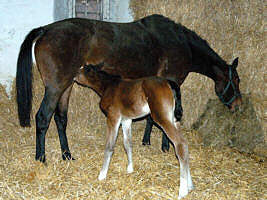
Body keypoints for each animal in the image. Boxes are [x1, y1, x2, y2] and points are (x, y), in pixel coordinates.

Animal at [74, 64, 194, 200]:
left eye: (80, 71)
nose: (74, 77)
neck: (108, 86)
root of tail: (169, 82)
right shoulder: (126, 119)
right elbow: (128, 144)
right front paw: (130, 168)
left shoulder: (113, 117)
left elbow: (109, 146)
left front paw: (102, 175)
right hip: (174, 120)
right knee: (184, 144)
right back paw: (190, 185)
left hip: (162, 117)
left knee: (180, 144)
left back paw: (182, 191)